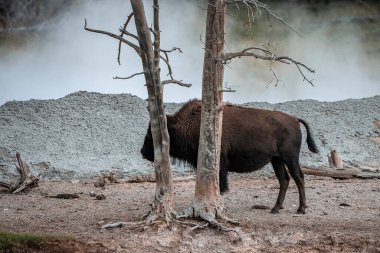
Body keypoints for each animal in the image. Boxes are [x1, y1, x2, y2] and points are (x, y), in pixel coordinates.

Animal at [140, 99, 318, 213]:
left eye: (151, 134)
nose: (142, 152)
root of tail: (294, 120)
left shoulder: (219, 163)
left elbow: (220, 182)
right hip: (276, 160)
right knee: (284, 180)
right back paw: (276, 208)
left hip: (290, 158)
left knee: (298, 177)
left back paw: (301, 209)